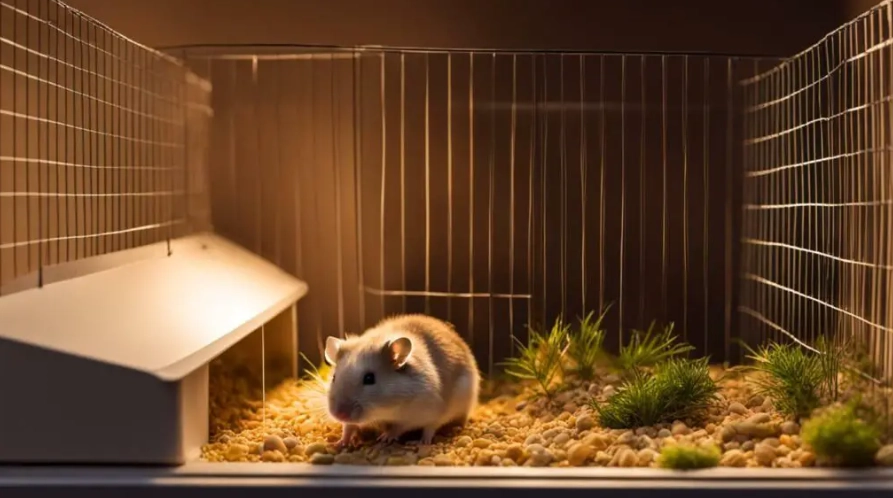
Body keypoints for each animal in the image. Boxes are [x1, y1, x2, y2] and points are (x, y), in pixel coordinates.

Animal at [324, 314, 480, 446]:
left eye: (369, 378)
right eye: (334, 377)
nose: (339, 414)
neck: (384, 409)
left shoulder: (417, 413)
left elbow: (399, 427)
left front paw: (385, 437)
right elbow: (348, 427)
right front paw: (339, 443)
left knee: (432, 428)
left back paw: (424, 441)